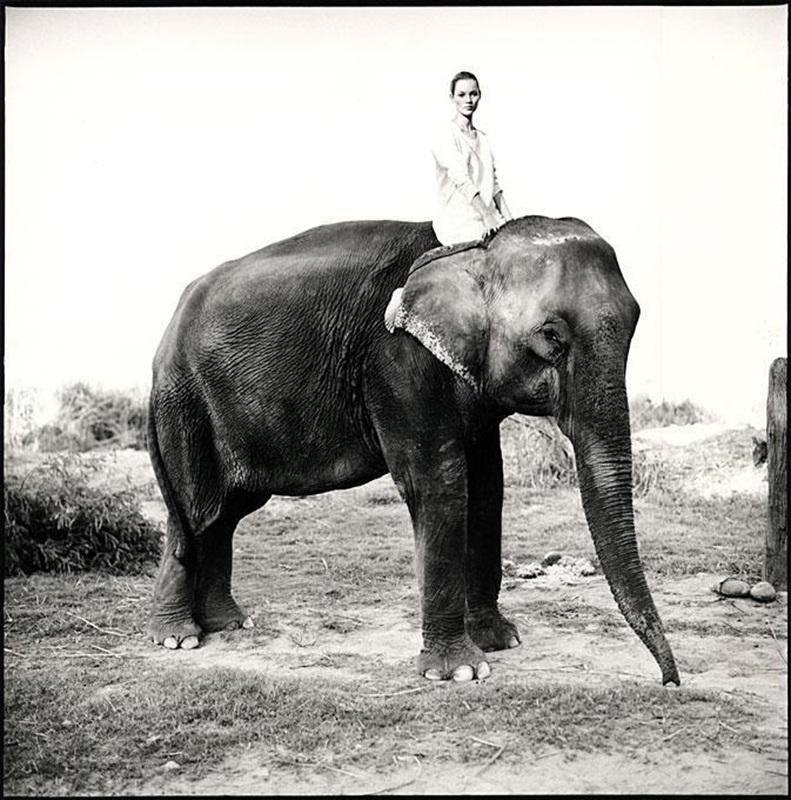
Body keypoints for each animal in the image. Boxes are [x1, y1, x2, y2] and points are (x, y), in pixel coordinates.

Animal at [146, 215, 680, 686]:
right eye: (551, 337)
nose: (669, 682)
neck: (474, 247)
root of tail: (164, 337)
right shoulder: (397, 364)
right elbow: (439, 485)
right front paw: (461, 672)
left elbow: (487, 487)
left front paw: (499, 641)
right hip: (184, 404)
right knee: (196, 510)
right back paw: (178, 638)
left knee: (225, 513)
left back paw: (229, 625)